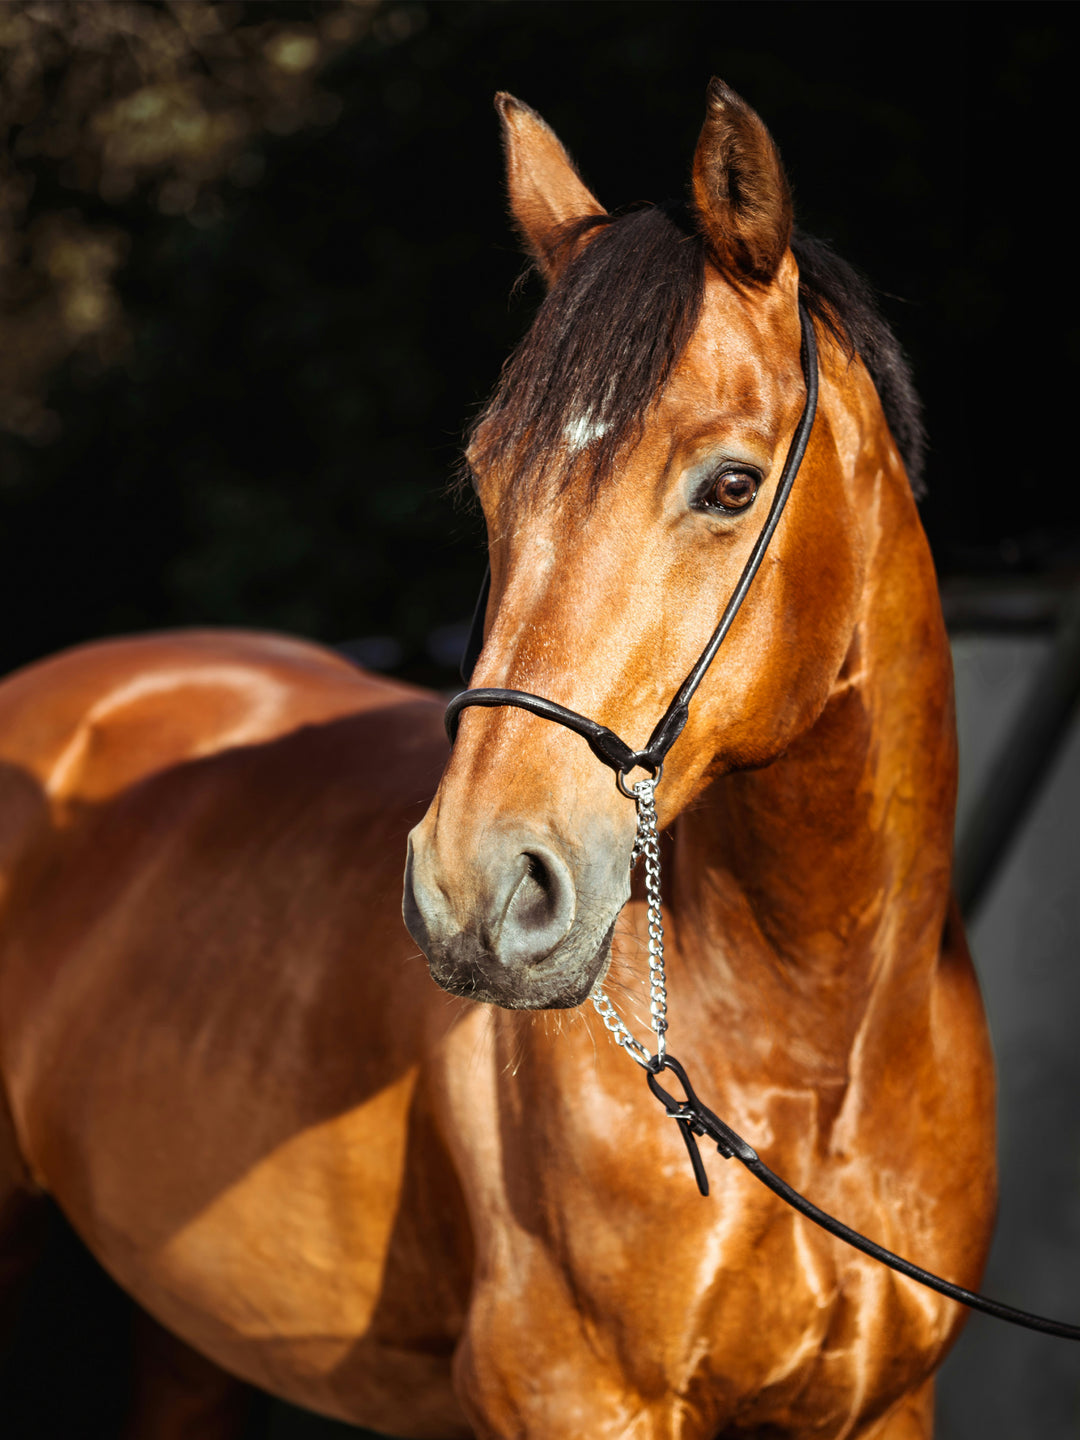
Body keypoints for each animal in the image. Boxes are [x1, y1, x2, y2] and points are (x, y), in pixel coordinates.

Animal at [0, 81, 996, 1440]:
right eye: (487, 482)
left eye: (731, 485)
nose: (473, 895)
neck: (814, 1052)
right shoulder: (570, 1395)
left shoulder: (886, 1406)